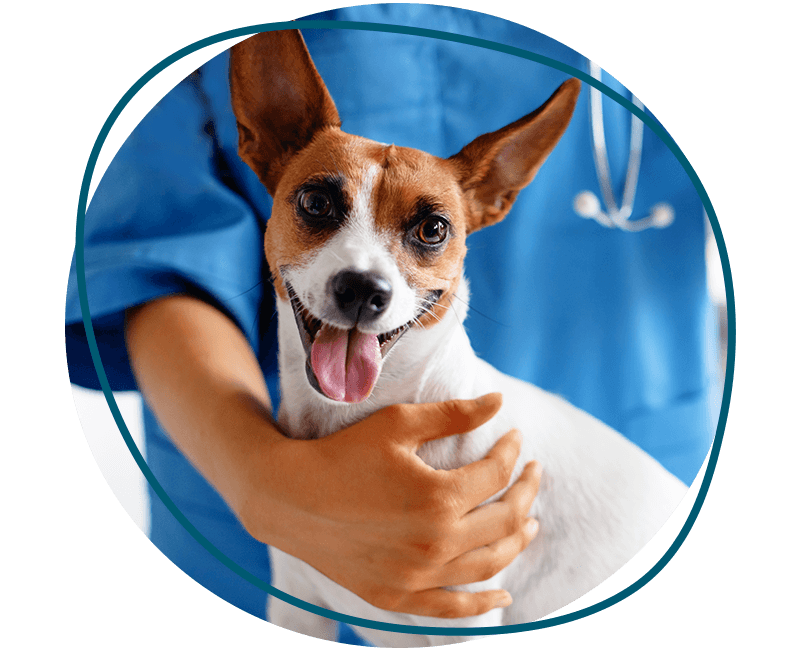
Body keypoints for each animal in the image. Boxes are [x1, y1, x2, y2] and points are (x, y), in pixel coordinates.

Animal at [227, 29, 688, 644]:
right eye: (316, 202)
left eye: (432, 229)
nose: (363, 289)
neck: (354, 423)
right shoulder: (297, 607)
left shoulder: (466, 620)